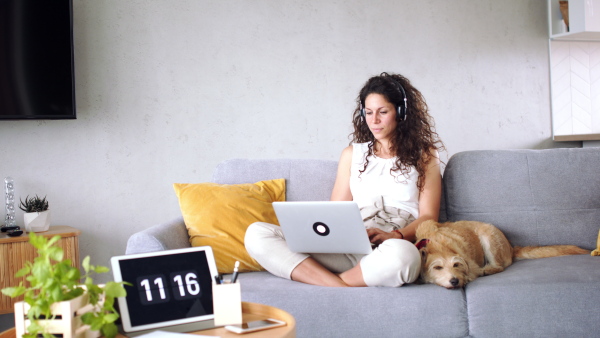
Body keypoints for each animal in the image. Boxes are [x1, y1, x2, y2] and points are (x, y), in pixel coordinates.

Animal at [414, 220, 588, 290]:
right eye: (437, 267)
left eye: (456, 265)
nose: (455, 281)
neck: (438, 245)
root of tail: (511, 247)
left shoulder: (471, 265)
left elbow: (471, 272)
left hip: (488, 237)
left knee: (499, 266)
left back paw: (489, 269)